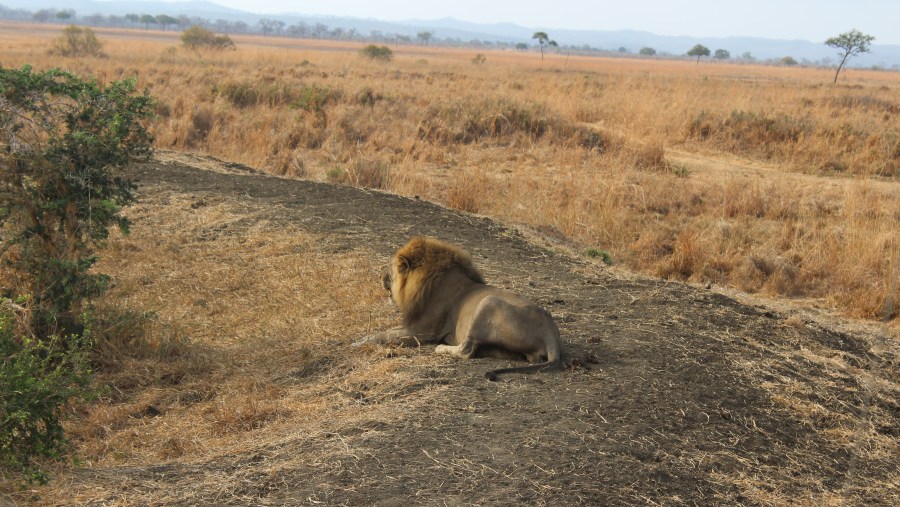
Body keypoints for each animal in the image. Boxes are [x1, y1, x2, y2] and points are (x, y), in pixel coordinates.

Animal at [356, 238, 564, 380]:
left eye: (390, 269)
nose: (379, 275)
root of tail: (551, 333)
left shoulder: (422, 331)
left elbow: (384, 335)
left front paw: (357, 343)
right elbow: (386, 331)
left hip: (487, 302)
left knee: (466, 350)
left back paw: (441, 348)